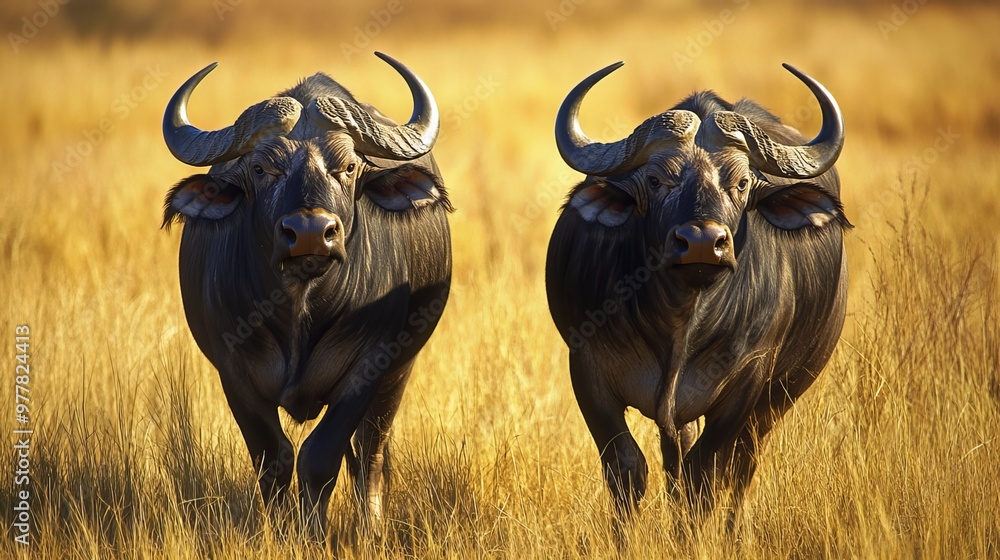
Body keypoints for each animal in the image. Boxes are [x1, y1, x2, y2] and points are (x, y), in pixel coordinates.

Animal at [161, 53, 452, 536]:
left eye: (349, 167)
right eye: (262, 169)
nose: (312, 233)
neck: (301, 309)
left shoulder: (369, 365)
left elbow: (321, 456)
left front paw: (315, 532)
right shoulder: (232, 370)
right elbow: (272, 456)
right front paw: (281, 531)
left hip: (400, 372)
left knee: (371, 449)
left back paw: (371, 526)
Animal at [546, 63, 849, 530]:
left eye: (741, 182)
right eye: (656, 180)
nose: (703, 243)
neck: (682, 323)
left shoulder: (747, 379)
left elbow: (705, 474)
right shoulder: (586, 367)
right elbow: (627, 467)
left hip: (779, 397)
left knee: (742, 465)